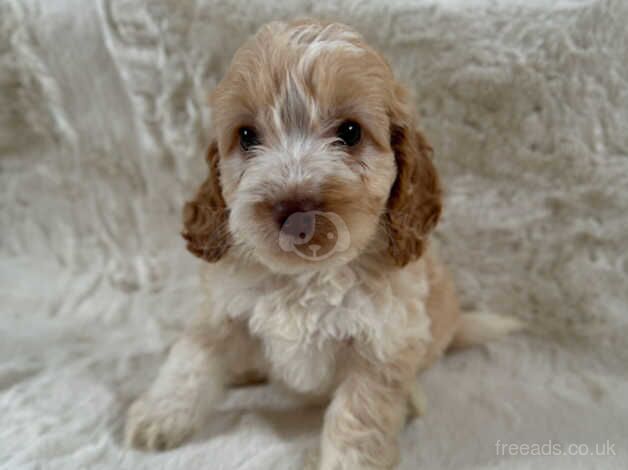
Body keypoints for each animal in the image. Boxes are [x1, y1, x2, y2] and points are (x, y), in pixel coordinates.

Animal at [125, 19, 524, 470]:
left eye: (350, 132)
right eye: (246, 136)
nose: (294, 212)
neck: (307, 276)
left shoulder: (383, 346)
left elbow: (357, 418)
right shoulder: (221, 312)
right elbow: (190, 361)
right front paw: (161, 415)